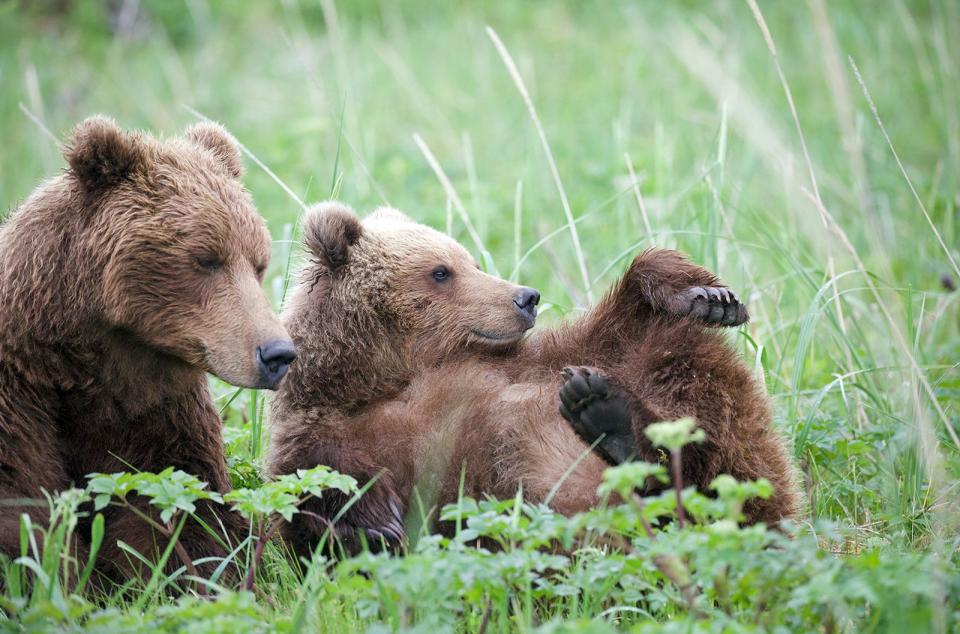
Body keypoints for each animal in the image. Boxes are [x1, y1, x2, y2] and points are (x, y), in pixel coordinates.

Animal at [0, 115, 296, 584]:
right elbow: (23, 511)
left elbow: (177, 505)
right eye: (206, 258)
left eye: (258, 263)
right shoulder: (19, 397)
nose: (278, 353)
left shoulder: (153, 408)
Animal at [266, 201, 800, 552]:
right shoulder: (329, 431)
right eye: (441, 271)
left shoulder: (537, 363)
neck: (401, 374)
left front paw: (704, 295)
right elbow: (311, 502)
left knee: (719, 436)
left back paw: (613, 418)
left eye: (471, 259)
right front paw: (375, 526)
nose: (526, 296)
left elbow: (623, 324)